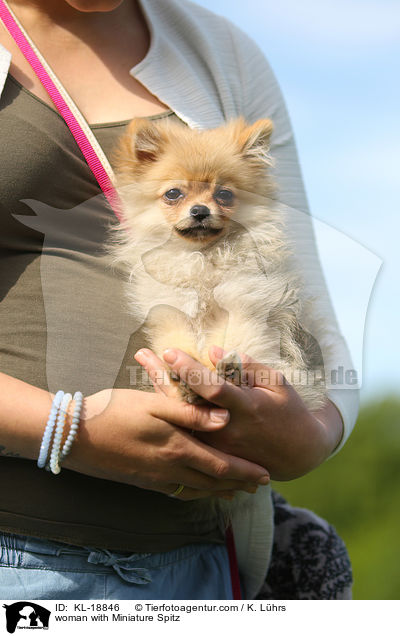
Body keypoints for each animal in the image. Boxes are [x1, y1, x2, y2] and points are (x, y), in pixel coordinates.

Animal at [108, 114, 324, 412]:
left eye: (224, 195)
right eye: (173, 193)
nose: (200, 211)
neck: (203, 260)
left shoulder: (245, 306)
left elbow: (233, 342)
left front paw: (223, 372)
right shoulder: (171, 311)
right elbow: (177, 346)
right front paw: (185, 380)